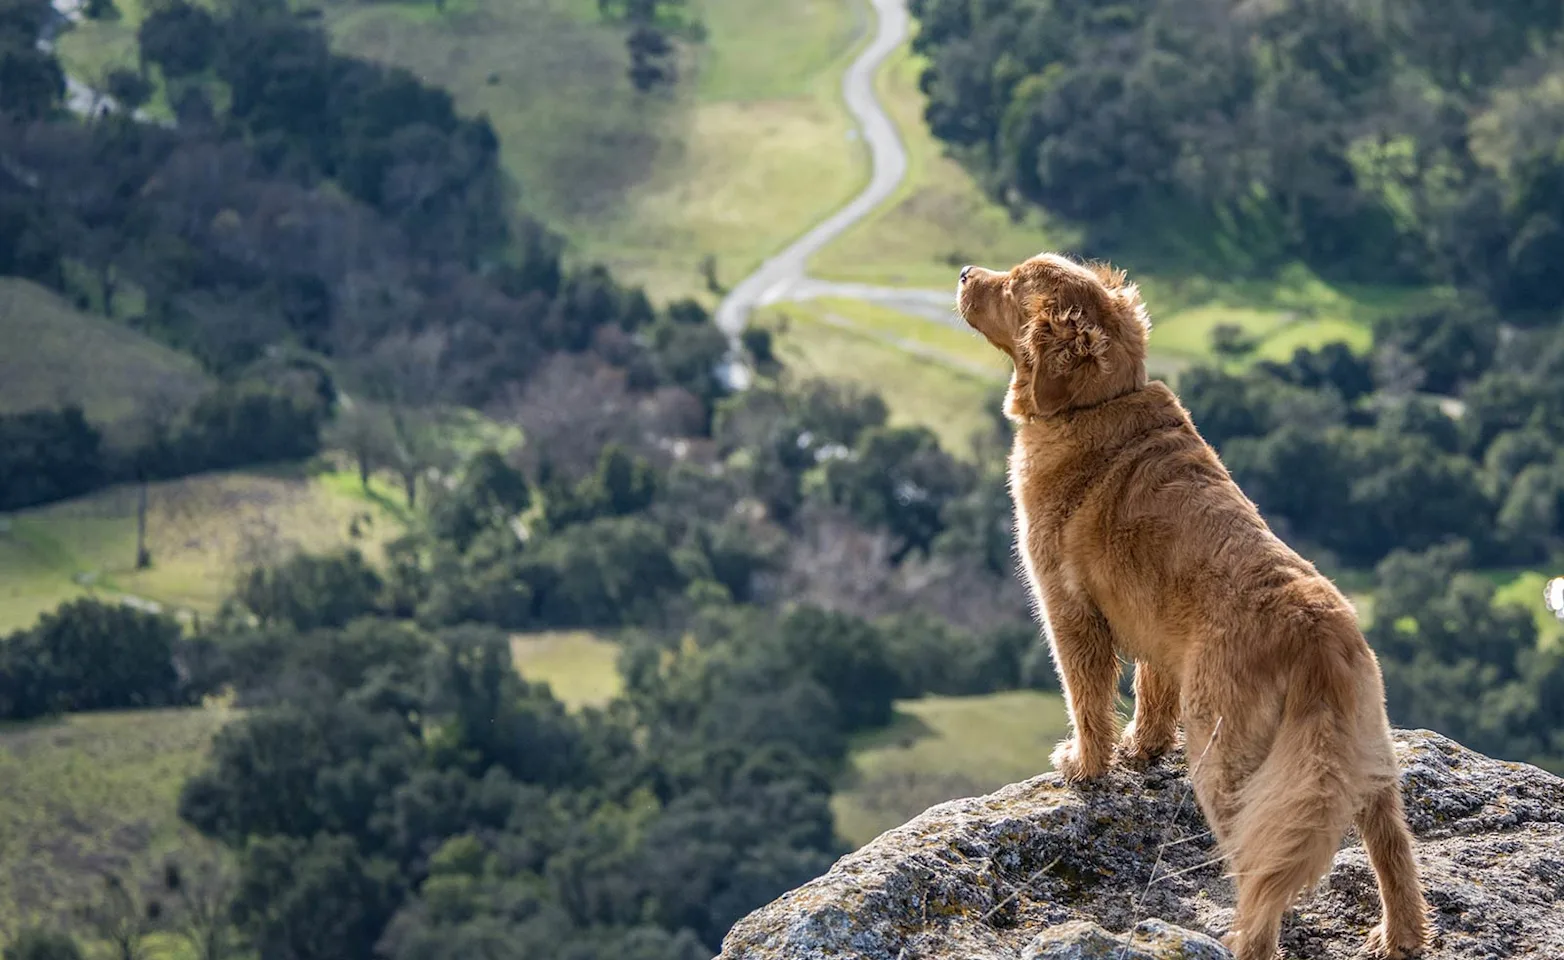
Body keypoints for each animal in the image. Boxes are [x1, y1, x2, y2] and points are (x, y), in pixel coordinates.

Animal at [950, 253, 1432, 960]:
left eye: (1012, 284)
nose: (964, 273)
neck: (1097, 402)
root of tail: (1315, 633)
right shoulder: (1155, 629)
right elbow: (1151, 695)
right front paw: (1142, 750)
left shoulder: (1071, 610)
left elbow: (1087, 699)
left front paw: (1086, 766)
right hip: (1369, 758)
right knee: (1394, 852)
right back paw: (1398, 936)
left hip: (1228, 763)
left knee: (1263, 880)